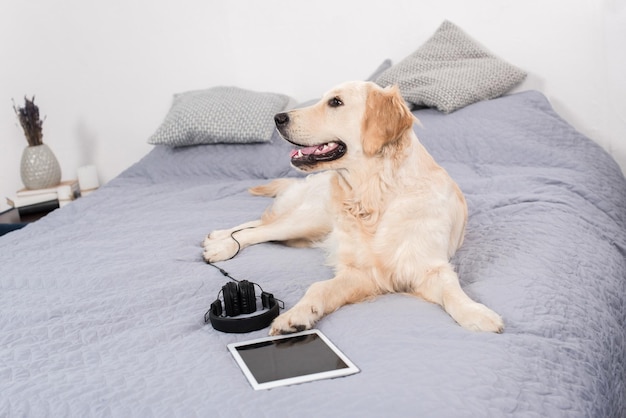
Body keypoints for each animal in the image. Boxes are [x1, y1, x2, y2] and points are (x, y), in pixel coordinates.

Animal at [204, 81, 502, 336]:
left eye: (335, 102)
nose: (278, 118)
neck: (374, 197)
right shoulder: (358, 270)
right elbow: (318, 288)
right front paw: (296, 314)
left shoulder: (428, 267)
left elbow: (452, 291)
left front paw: (476, 313)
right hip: (310, 219)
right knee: (259, 228)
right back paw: (220, 244)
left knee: (262, 225)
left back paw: (216, 239)